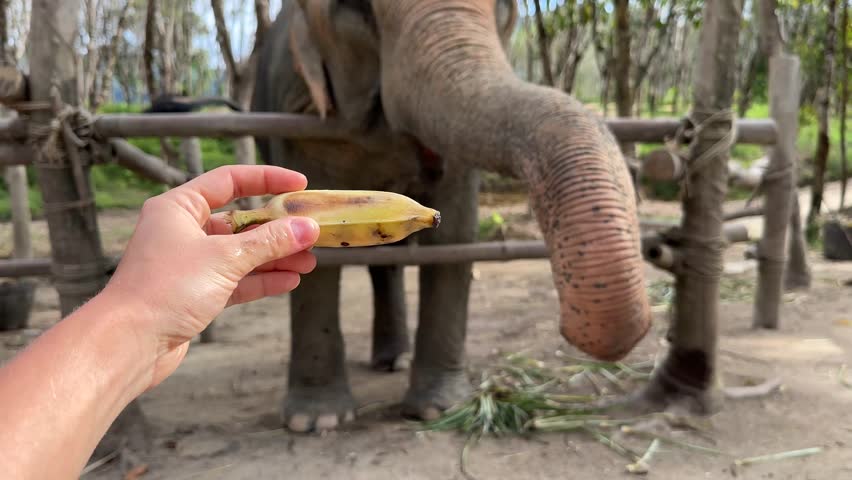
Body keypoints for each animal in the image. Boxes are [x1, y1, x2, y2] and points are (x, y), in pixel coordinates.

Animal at [251, 0, 651, 433]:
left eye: (506, 10)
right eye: (359, 9)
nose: (569, 328)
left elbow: (455, 238)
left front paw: (439, 410)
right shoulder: (297, 116)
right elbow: (318, 255)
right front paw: (317, 421)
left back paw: (395, 361)